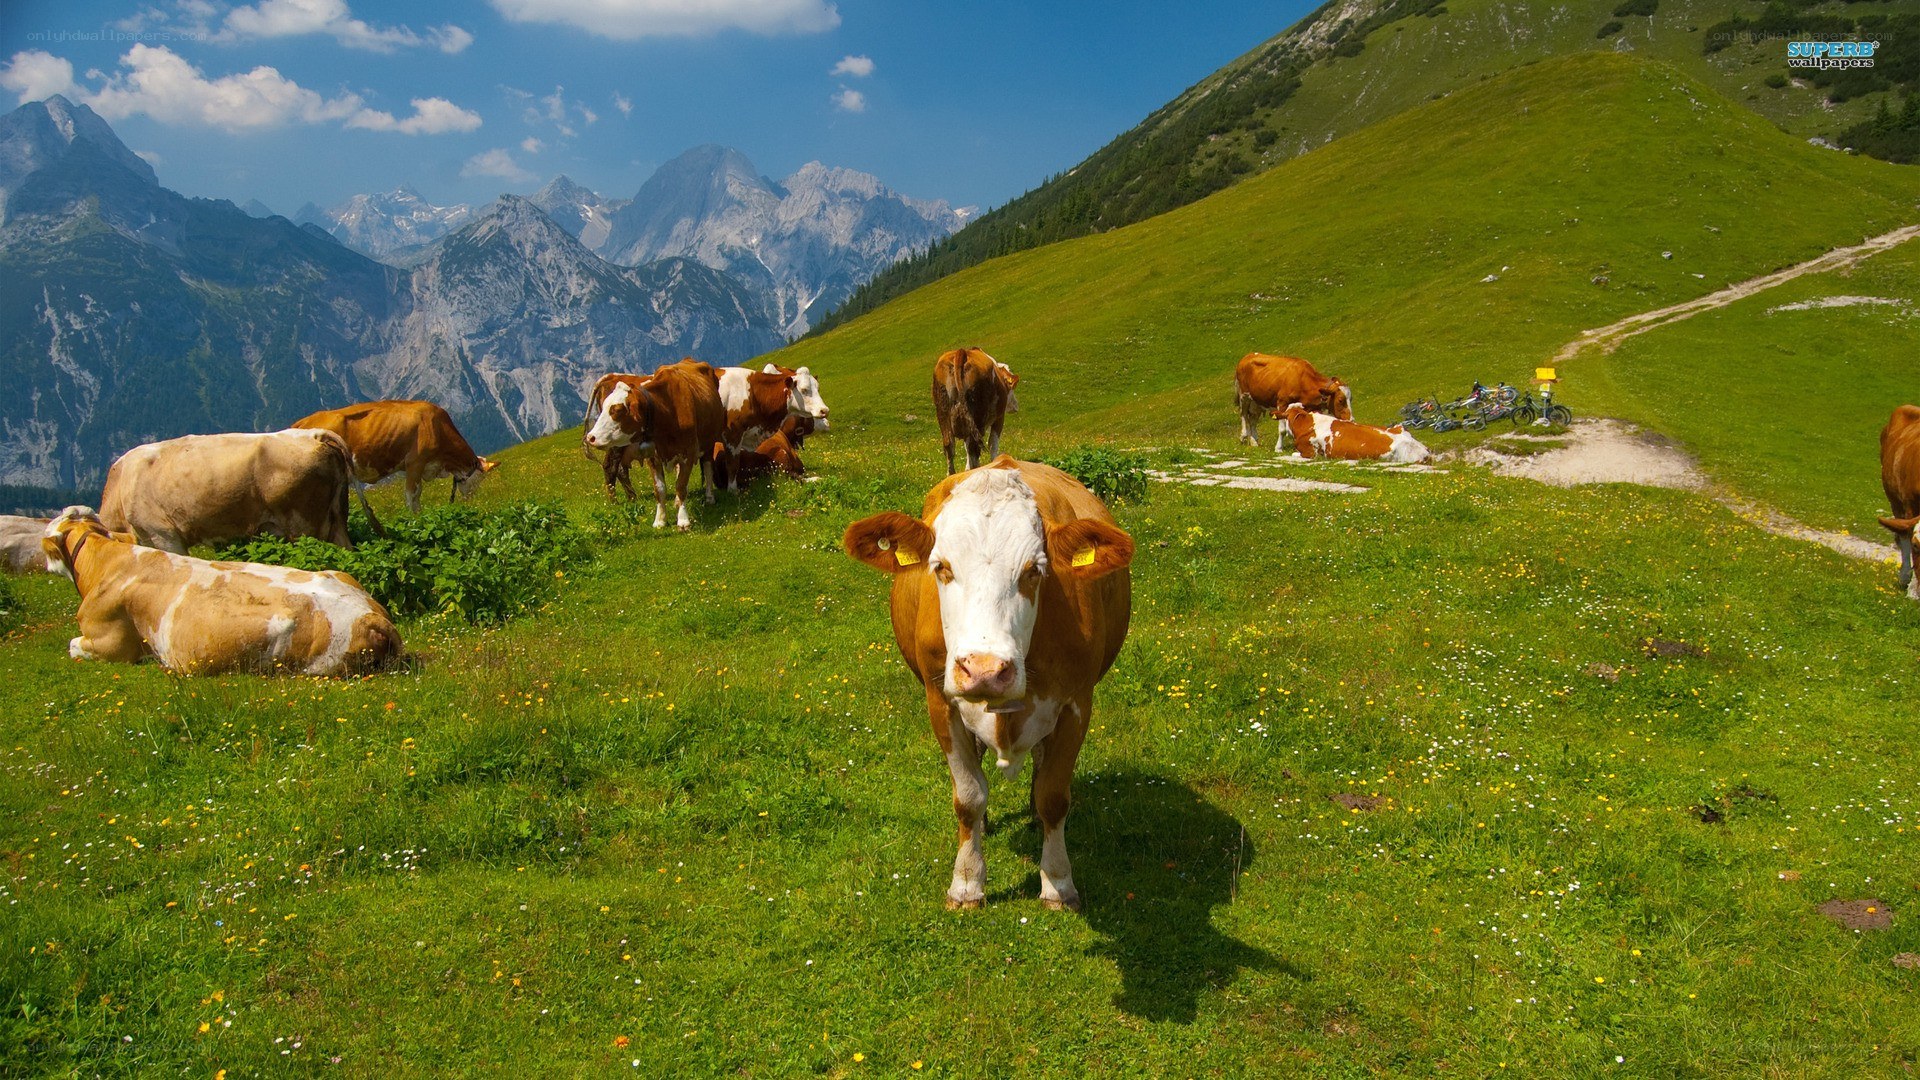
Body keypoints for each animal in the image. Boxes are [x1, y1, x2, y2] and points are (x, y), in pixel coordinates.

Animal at [290, 400, 498, 521]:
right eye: (477, 481)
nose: (470, 502)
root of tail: (303, 422)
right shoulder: (415, 462)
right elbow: (413, 495)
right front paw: (415, 518)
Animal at [583, 359, 725, 530]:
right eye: (605, 408)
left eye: (616, 410)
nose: (591, 437)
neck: (667, 409)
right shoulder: (653, 457)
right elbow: (660, 489)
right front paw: (660, 520)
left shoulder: (688, 453)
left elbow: (681, 485)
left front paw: (683, 520)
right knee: (614, 467)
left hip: (709, 441)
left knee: (708, 466)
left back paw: (709, 497)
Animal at [843, 457, 1135, 912]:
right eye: (941, 567)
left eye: (1034, 570)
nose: (983, 670)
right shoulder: (940, 702)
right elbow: (968, 797)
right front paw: (967, 882)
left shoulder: (1076, 704)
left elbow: (1054, 797)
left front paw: (1058, 883)